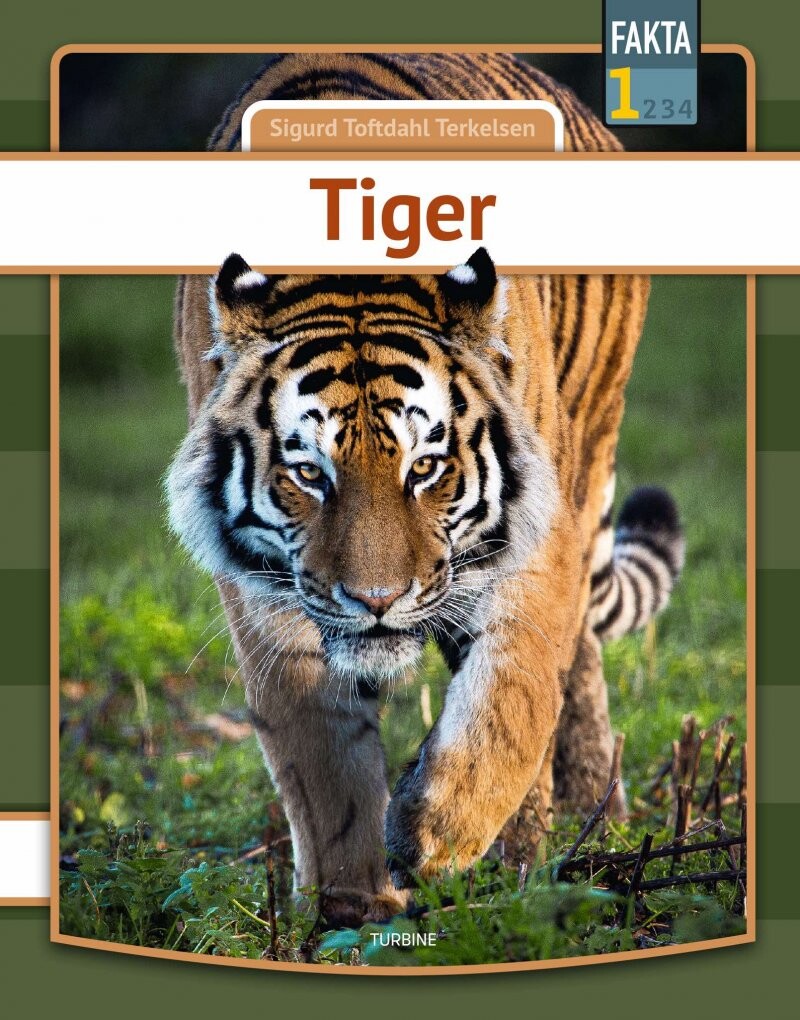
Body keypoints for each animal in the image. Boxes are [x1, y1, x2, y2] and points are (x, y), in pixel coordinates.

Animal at [167, 52, 684, 927]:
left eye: (425, 468)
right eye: (308, 473)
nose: (377, 601)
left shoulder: (534, 547)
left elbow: (510, 702)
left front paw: (434, 835)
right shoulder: (266, 592)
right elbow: (318, 753)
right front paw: (349, 906)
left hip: (587, 450)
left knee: (567, 666)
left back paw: (561, 834)